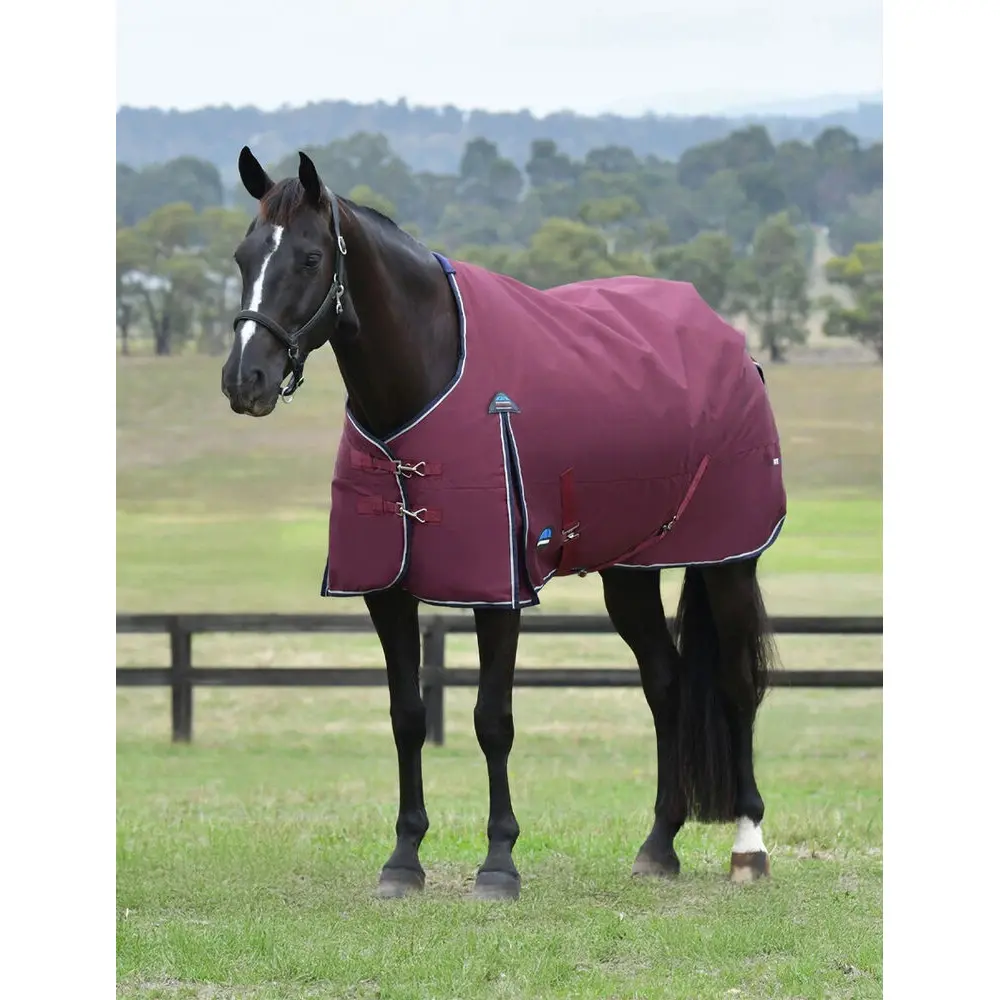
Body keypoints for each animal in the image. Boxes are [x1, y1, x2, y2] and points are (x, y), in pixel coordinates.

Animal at [221, 147, 785, 901]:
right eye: (244, 255)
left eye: (310, 257)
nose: (244, 380)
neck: (425, 382)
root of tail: (732, 344)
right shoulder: (385, 591)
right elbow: (408, 716)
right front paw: (403, 860)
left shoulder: (499, 590)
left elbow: (493, 721)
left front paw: (498, 864)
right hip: (629, 572)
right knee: (664, 684)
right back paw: (658, 845)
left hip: (728, 562)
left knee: (736, 684)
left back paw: (748, 847)